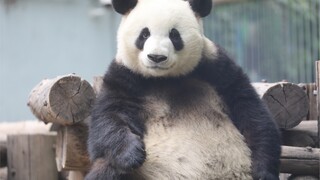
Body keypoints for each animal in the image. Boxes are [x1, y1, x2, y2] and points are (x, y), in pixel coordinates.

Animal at [86, 0, 282, 179]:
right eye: (144, 34)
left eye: (174, 34)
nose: (156, 57)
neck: (164, 78)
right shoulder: (125, 76)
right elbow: (108, 119)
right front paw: (132, 154)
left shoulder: (214, 67)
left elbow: (249, 109)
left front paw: (264, 172)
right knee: (106, 170)